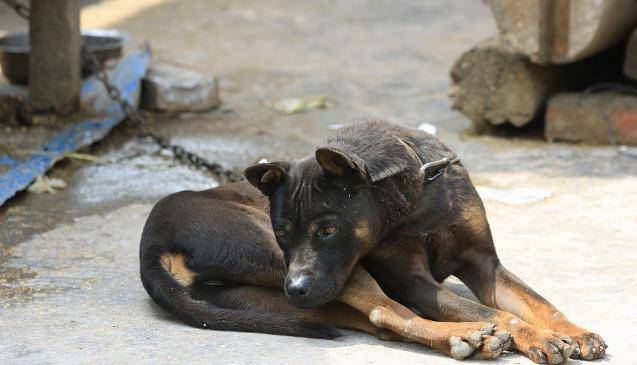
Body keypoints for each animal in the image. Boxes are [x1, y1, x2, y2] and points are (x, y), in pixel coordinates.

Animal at [139, 119, 608, 362]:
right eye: (282, 233)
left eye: (328, 230)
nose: (296, 288)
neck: (412, 195)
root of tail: (152, 244)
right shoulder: (413, 281)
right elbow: (498, 313)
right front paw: (534, 336)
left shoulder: (484, 264)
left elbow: (537, 302)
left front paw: (573, 331)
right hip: (298, 264)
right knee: (387, 312)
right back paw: (469, 335)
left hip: (269, 295)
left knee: (377, 321)